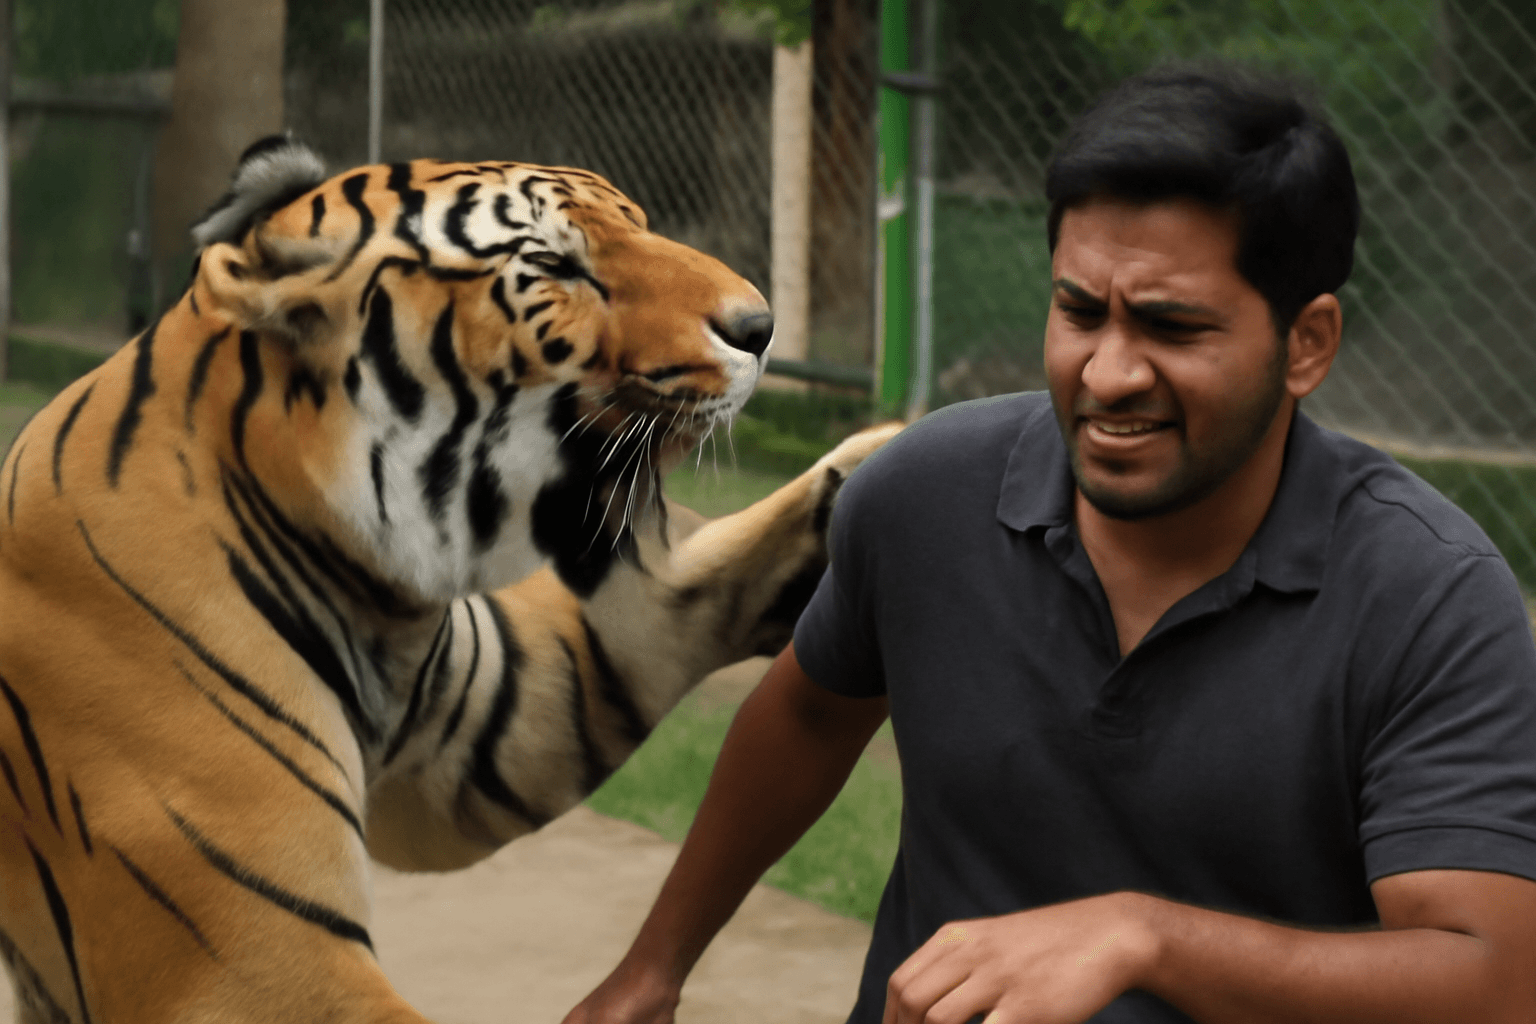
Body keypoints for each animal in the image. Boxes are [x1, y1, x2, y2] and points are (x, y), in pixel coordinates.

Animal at [0, 135, 901, 1024]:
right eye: (554, 264)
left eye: (639, 223)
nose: (760, 326)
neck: (364, 577)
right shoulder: (252, 956)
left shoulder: (486, 733)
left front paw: (875, 461)